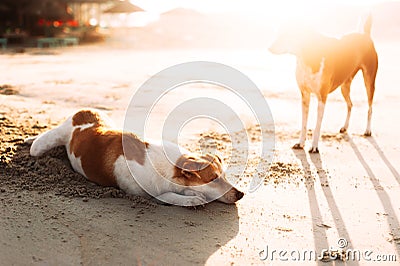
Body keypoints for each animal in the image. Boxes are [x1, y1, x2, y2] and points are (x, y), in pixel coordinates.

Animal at [28, 108, 244, 206]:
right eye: (213, 179)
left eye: (225, 176)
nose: (241, 194)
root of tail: (84, 111)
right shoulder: (144, 193)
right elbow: (165, 196)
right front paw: (190, 199)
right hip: (41, 147)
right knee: (38, 144)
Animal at [268, 15, 378, 153]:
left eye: (288, 34)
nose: (269, 48)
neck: (306, 57)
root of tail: (365, 35)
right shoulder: (305, 96)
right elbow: (304, 124)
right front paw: (300, 143)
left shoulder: (322, 98)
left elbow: (317, 126)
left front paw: (314, 146)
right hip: (344, 86)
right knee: (350, 104)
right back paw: (345, 127)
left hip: (369, 81)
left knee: (370, 107)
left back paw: (368, 130)